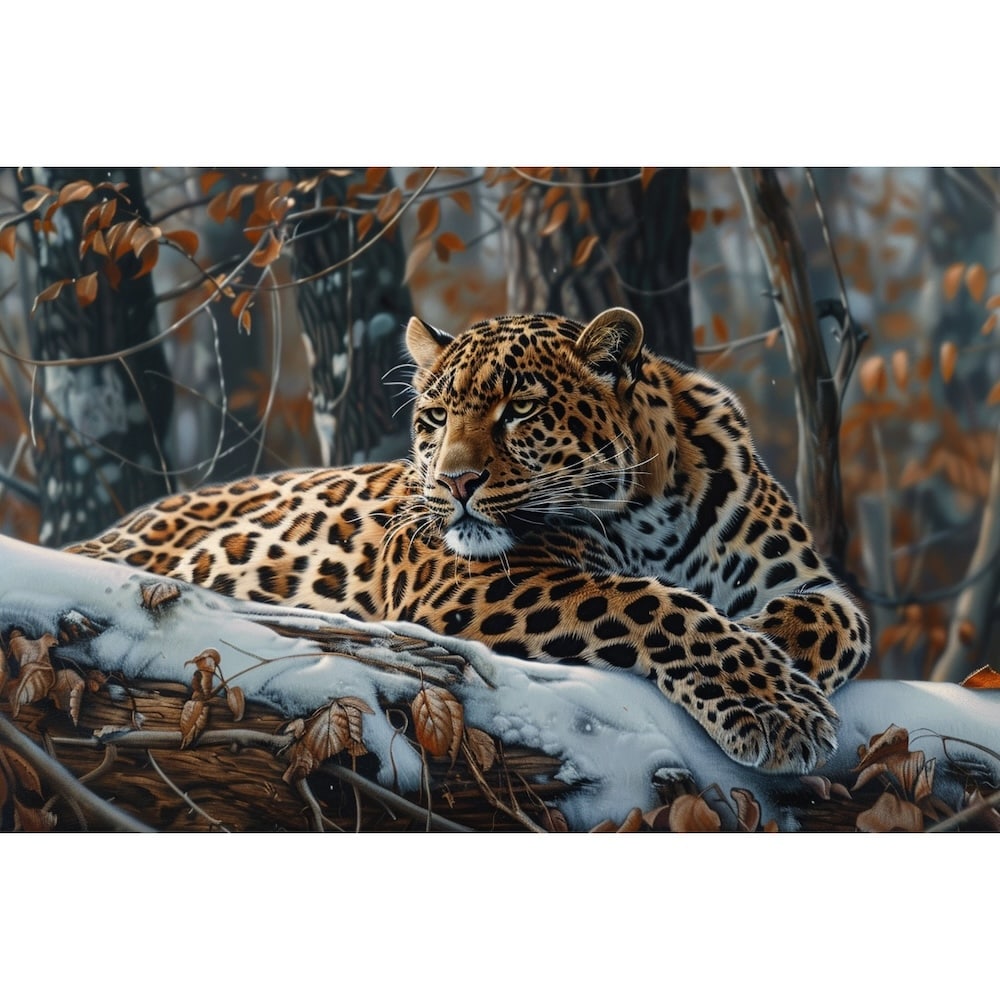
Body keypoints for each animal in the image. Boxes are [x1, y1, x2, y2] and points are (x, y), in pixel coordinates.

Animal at [67, 307, 870, 773]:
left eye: (520, 410)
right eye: (435, 417)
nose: (454, 481)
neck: (649, 514)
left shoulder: (811, 584)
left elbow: (831, 627)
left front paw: (780, 671)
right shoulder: (466, 580)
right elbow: (661, 607)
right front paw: (777, 709)